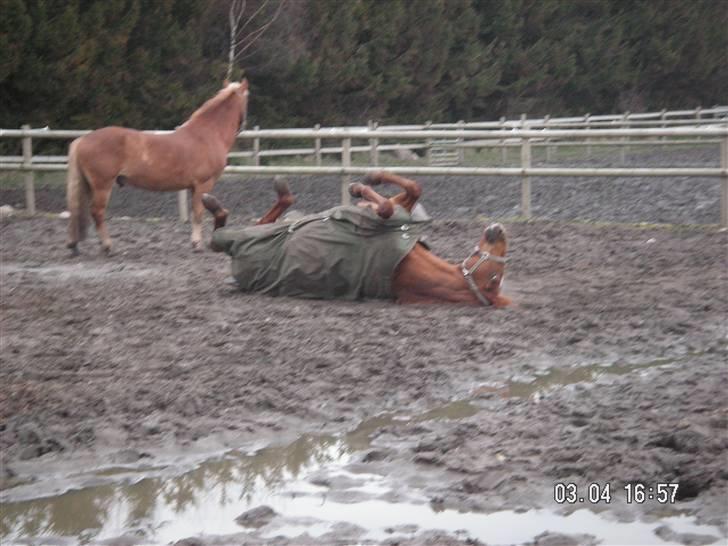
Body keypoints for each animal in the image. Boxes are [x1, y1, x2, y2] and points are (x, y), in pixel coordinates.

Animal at [68, 78, 250, 253]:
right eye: (247, 98)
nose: (243, 125)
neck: (207, 135)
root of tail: (82, 139)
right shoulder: (203, 185)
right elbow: (198, 214)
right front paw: (197, 244)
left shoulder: (194, 187)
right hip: (102, 186)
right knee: (97, 212)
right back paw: (107, 246)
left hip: (89, 186)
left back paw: (75, 245)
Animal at [202, 171, 512, 306]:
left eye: (495, 277)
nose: (500, 229)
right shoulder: (401, 213)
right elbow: (413, 188)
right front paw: (368, 181)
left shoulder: (385, 219)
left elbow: (384, 207)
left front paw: (360, 188)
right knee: (265, 218)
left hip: (244, 243)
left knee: (222, 235)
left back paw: (216, 208)